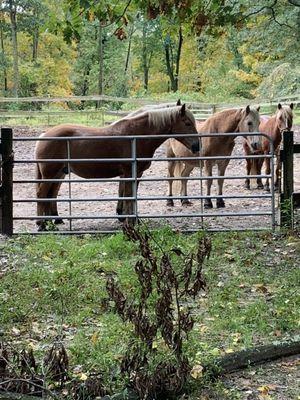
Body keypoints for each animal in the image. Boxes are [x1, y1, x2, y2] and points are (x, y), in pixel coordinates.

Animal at [35, 103, 199, 230]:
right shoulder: (129, 173)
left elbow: (130, 195)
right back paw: (42, 225)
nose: (197, 146)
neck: (137, 136)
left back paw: (50, 223)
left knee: (49, 195)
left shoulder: (135, 174)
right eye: (187, 123)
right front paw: (130, 221)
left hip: (57, 174)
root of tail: (43, 136)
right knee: (42, 194)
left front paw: (131, 219)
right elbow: (128, 196)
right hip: (51, 174)